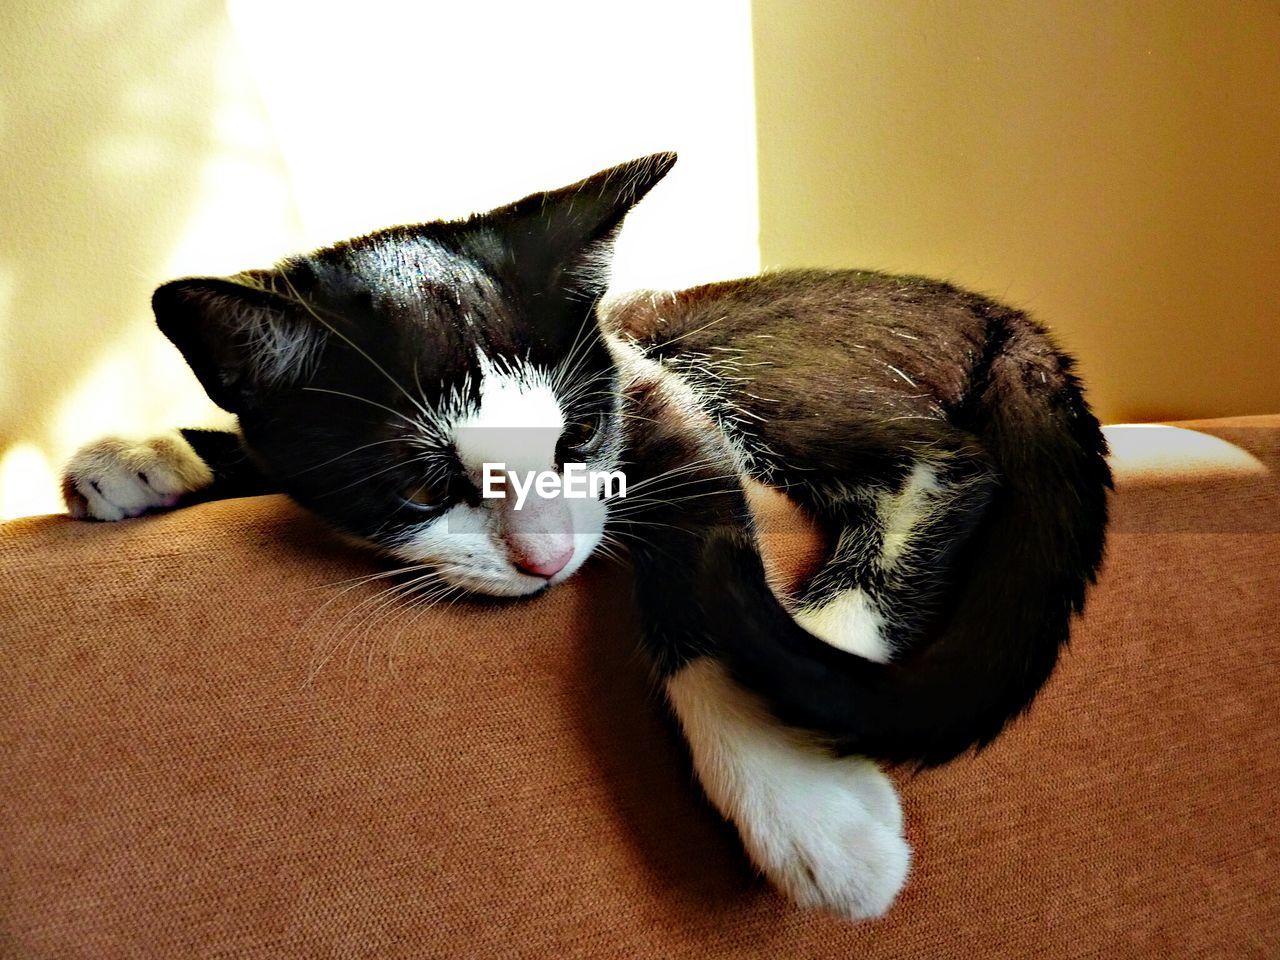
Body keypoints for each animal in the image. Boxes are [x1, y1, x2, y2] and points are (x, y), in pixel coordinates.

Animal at [62, 154, 1111, 921]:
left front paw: (801, 806)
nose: (548, 557)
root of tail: (996, 313)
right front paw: (144, 453)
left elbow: (699, 545)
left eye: (577, 438)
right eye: (422, 484)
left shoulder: (649, 384)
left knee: (948, 467)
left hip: (720, 340)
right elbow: (258, 446)